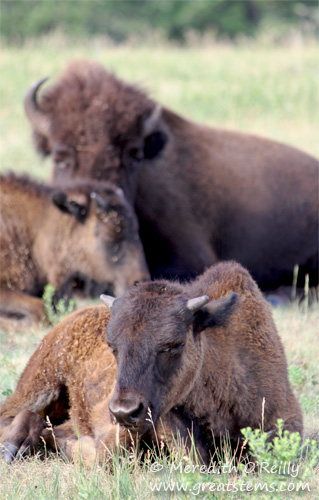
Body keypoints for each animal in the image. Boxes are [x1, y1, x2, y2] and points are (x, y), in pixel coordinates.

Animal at [0, 262, 304, 464]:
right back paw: (12, 448)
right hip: (39, 384)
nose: (124, 411)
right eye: (112, 347)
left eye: (174, 344)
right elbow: (107, 452)